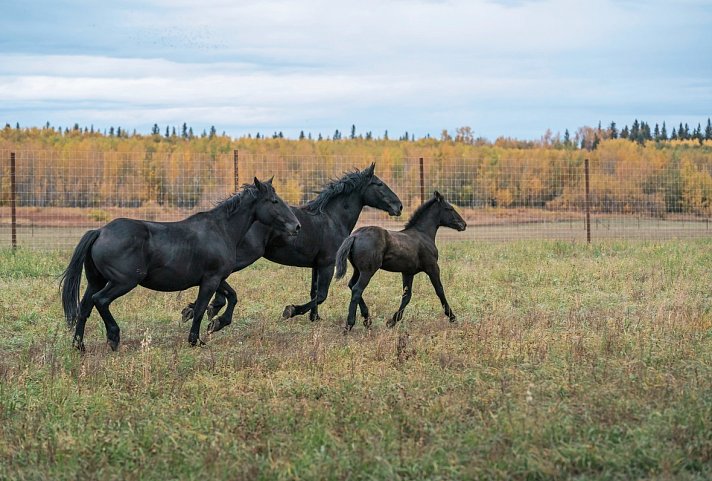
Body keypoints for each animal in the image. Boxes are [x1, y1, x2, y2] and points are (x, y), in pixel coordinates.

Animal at [60, 176, 300, 348]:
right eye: (274, 201)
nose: (296, 226)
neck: (221, 229)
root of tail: (100, 231)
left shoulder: (217, 278)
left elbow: (231, 297)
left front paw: (217, 323)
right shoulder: (211, 280)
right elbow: (202, 307)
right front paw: (195, 339)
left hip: (96, 281)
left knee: (85, 308)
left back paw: (79, 346)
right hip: (122, 282)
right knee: (101, 301)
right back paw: (113, 337)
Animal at [181, 163, 404, 332]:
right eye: (379, 184)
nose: (399, 206)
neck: (332, 218)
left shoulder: (316, 265)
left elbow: (315, 292)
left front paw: (318, 318)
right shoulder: (327, 264)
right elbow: (321, 295)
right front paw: (291, 310)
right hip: (244, 256)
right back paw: (209, 312)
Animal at [336, 190, 468, 330]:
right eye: (450, 208)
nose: (463, 224)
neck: (423, 234)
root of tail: (355, 236)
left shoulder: (407, 272)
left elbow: (407, 296)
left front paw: (392, 321)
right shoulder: (432, 267)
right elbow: (440, 291)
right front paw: (452, 317)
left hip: (358, 270)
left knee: (351, 285)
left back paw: (367, 319)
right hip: (368, 271)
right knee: (357, 289)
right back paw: (350, 324)